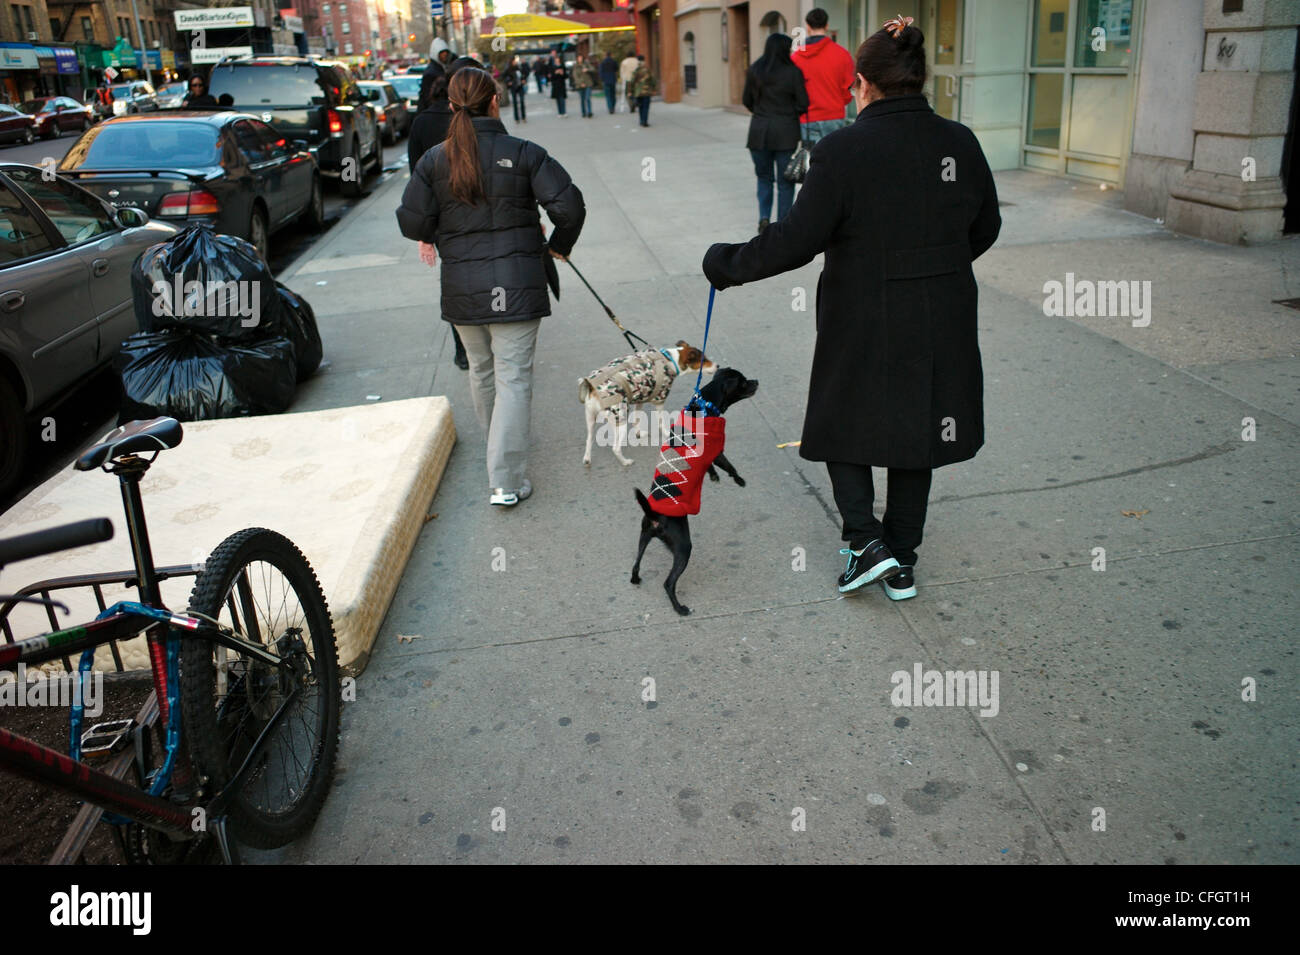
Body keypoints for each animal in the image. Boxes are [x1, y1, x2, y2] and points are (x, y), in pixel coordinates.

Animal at [582, 343, 717, 467]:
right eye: (704, 360)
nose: (718, 366)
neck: (670, 360)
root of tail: (592, 388)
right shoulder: (660, 400)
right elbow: (662, 422)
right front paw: (668, 435)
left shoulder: (641, 398)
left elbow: (636, 419)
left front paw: (638, 433)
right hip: (620, 418)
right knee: (615, 448)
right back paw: (625, 462)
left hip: (591, 418)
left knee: (589, 439)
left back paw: (587, 459)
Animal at [631, 369, 759, 615]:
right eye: (742, 382)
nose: (756, 381)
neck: (704, 405)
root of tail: (654, 515)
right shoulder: (717, 452)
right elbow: (730, 467)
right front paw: (739, 480)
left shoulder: (709, 457)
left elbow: (710, 467)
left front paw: (713, 476)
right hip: (683, 548)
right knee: (668, 583)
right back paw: (679, 608)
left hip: (643, 536)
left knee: (636, 563)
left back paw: (635, 579)